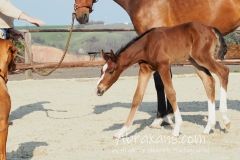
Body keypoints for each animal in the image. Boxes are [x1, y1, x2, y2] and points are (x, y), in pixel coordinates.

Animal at [95, 21, 231, 139]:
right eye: (101, 70)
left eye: (111, 71)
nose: (98, 90)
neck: (147, 44)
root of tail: (210, 28)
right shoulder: (145, 70)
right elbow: (137, 98)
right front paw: (121, 131)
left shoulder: (163, 66)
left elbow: (171, 93)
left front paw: (177, 128)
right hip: (195, 61)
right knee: (209, 81)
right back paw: (208, 128)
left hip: (202, 57)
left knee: (223, 71)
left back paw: (226, 120)